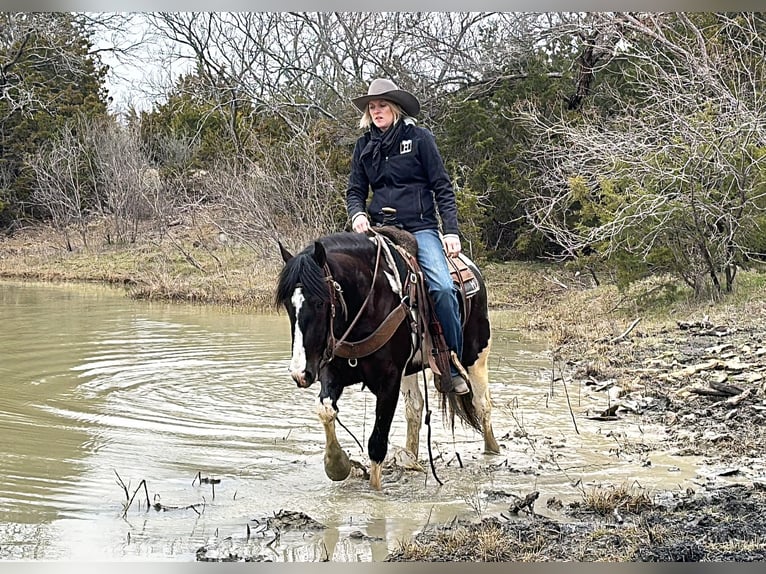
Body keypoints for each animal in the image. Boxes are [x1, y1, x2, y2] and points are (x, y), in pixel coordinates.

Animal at [274, 230, 498, 490]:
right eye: (288, 305)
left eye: (320, 302)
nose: (300, 373)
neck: (369, 303)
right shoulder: (333, 372)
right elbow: (326, 409)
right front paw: (337, 465)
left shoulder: (389, 381)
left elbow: (377, 443)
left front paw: (374, 491)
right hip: (410, 370)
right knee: (415, 408)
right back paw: (411, 457)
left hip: (476, 356)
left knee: (482, 405)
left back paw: (493, 451)